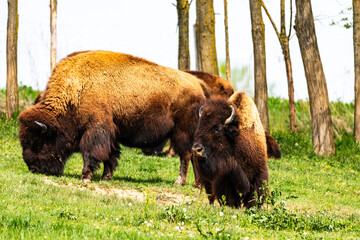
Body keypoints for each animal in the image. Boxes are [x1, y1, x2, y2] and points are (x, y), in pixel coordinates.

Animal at [19, 50, 212, 185]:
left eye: (38, 142)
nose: (33, 168)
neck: (76, 90)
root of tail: (198, 86)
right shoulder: (111, 133)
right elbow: (110, 156)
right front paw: (106, 177)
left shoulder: (96, 129)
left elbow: (91, 153)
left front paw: (86, 176)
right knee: (193, 155)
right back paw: (197, 184)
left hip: (182, 133)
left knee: (186, 155)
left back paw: (180, 182)